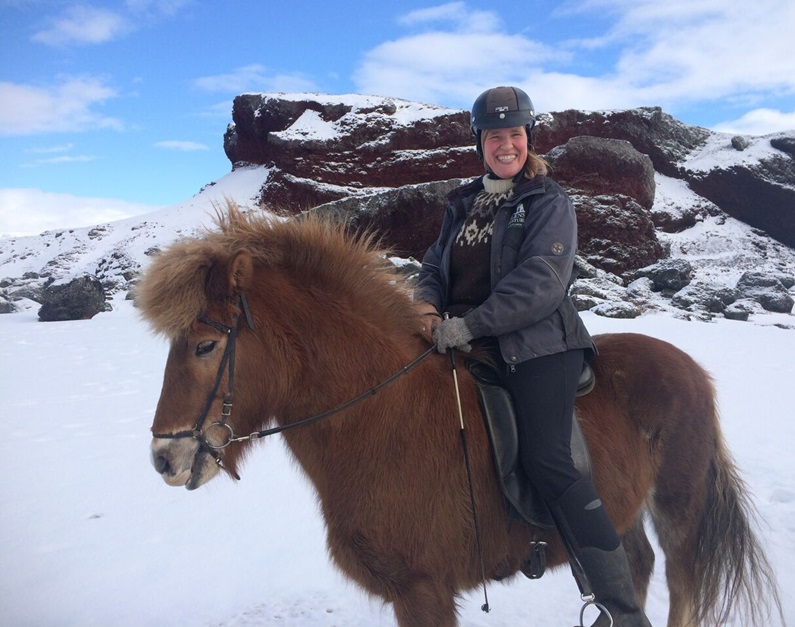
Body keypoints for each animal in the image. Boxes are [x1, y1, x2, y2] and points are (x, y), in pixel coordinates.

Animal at [138, 206, 784, 627]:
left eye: (204, 345)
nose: (165, 459)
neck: (382, 417)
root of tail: (690, 368)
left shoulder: (423, 590)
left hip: (679, 509)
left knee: (678, 584)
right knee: (634, 563)